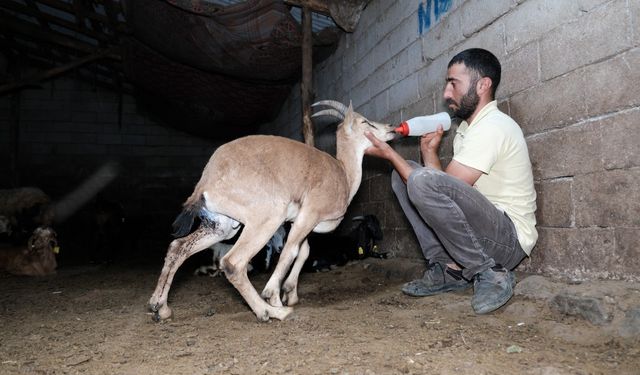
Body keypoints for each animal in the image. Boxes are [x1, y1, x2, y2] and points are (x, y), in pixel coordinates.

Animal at [149, 100, 398, 324]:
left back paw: (160, 308)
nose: (391, 129)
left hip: (223, 226)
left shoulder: (298, 221)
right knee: (233, 263)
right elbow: (290, 251)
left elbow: (303, 251)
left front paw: (290, 293)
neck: (343, 173)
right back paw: (271, 312)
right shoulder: (308, 215)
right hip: (266, 218)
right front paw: (275, 297)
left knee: (178, 247)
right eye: (365, 121)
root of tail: (207, 180)